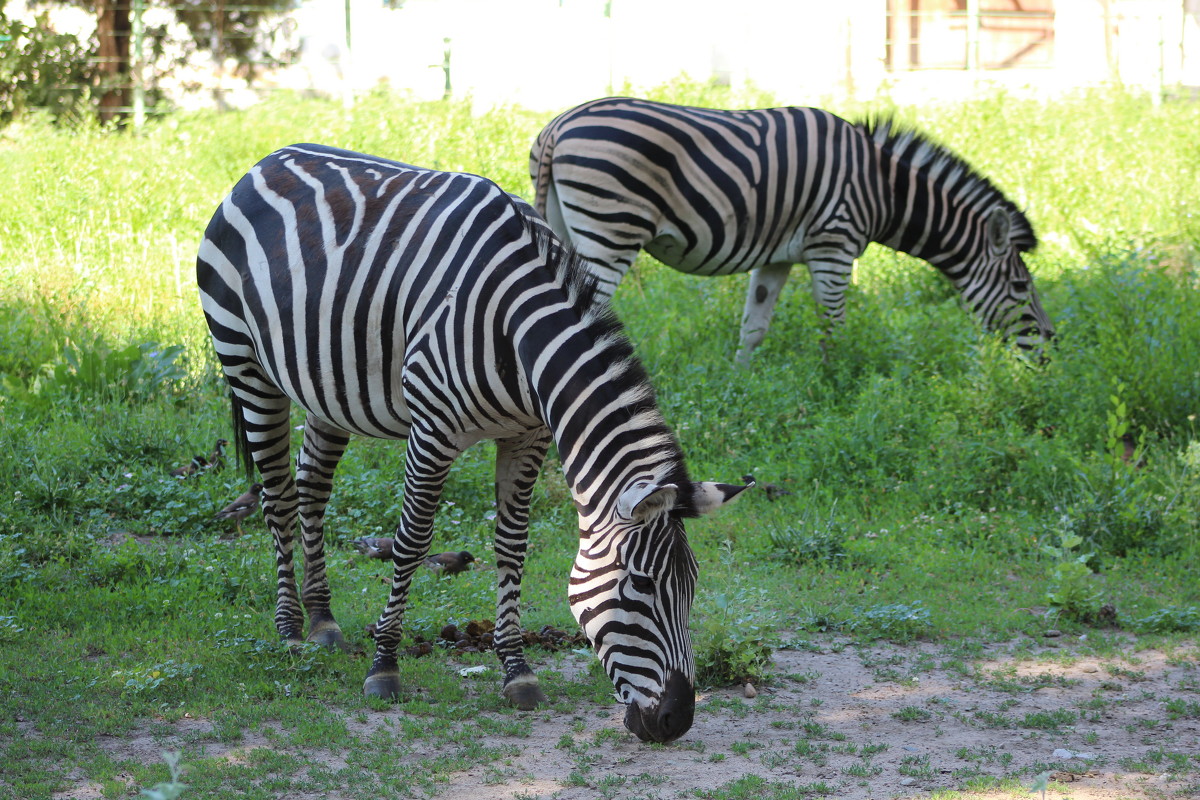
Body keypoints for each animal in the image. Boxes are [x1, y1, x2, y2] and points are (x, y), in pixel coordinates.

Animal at [194, 142, 748, 743]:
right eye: (638, 587)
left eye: (692, 585)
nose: (677, 720)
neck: (518, 328)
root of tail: (270, 159)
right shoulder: (432, 431)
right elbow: (412, 542)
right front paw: (384, 666)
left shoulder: (527, 436)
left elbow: (512, 545)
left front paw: (516, 669)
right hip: (247, 366)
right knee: (277, 496)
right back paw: (291, 631)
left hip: (327, 387)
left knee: (312, 486)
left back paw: (322, 620)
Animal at [530, 95, 1056, 367]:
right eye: (1020, 286)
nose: (1051, 348)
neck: (882, 188)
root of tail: (558, 126)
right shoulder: (834, 246)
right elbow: (834, 325)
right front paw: (835, 386)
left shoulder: (776, 257)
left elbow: (754, 328)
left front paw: (742, 384)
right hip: (610, 230)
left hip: (566, 227)